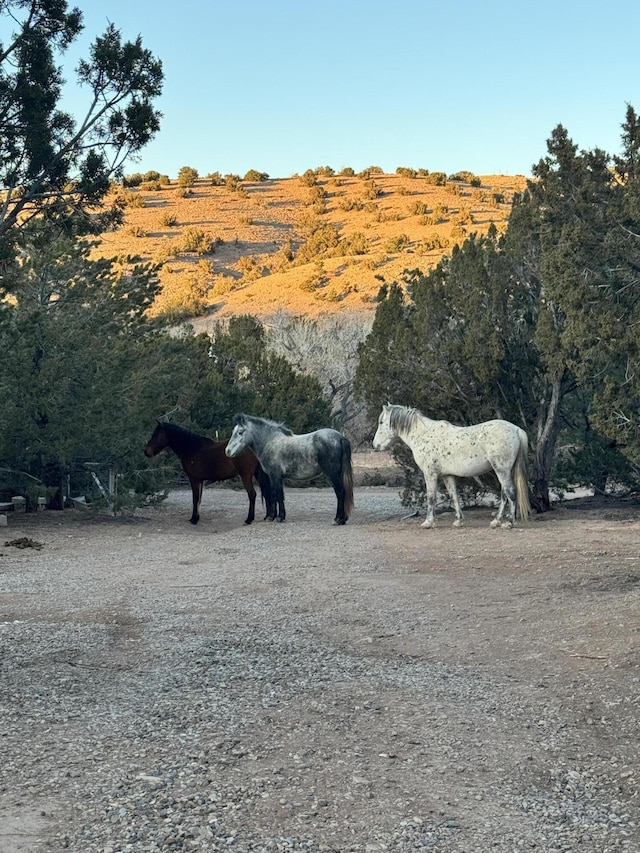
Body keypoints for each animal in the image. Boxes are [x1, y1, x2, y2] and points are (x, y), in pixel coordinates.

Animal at [144, 422, 274, 524]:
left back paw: (249, 519)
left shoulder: (194, 479)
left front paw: (193, 519)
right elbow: (199, 498)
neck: (191, 447)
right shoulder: (200, 480)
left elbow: (195, 498)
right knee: (266, 493)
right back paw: (268, 516)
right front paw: (197, 517)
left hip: (246, 475)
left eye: (155, 435)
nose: (146, 452)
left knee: (252, 494)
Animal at [225, 414, 356, 524]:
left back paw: (338, 519)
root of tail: (340, 437)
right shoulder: (274, 477)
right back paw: (343, 519)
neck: (270, 442)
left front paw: (279, 517)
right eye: (233, 432)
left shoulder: (275, 476)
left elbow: (278, 495)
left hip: (332, 474)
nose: (227, 451)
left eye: (240, 432)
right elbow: (274, 494)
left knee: (340, 491)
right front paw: (272, 517)